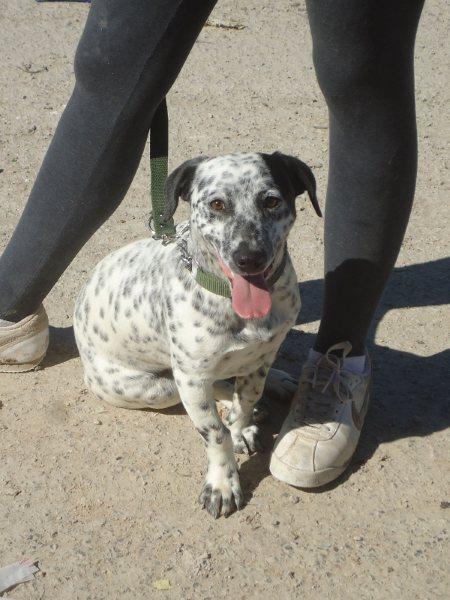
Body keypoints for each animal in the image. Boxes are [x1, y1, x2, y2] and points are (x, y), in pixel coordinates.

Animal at [74, 152, 320, 516]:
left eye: (272, 201)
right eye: (217, 204)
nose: (249, 258)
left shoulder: (260, 358)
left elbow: (247, 399)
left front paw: (243, 424)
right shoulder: (191, 376)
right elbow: (216, 433)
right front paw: (223, 483)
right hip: (160, 387)